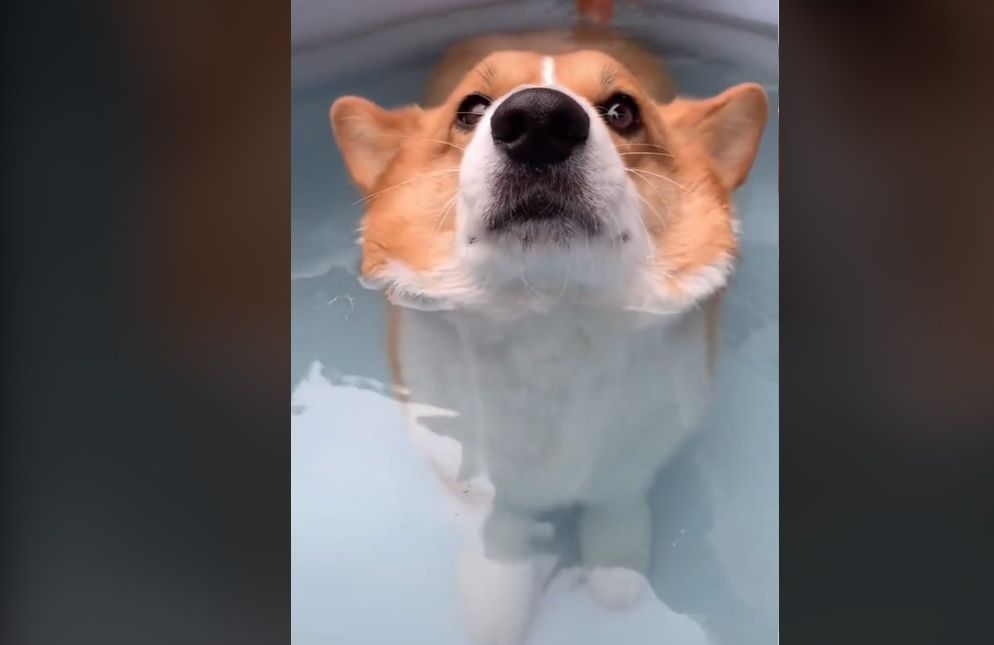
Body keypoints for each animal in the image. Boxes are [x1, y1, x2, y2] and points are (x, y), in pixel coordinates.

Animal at [330, 22, 764, 640]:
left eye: (622, 110)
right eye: (470, 109)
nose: (538, 119)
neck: (547, 313)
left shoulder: (640, 449)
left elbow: (616, 496)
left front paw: (616, 565)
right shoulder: (462, 466)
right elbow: (500, 528)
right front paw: (498, 599)